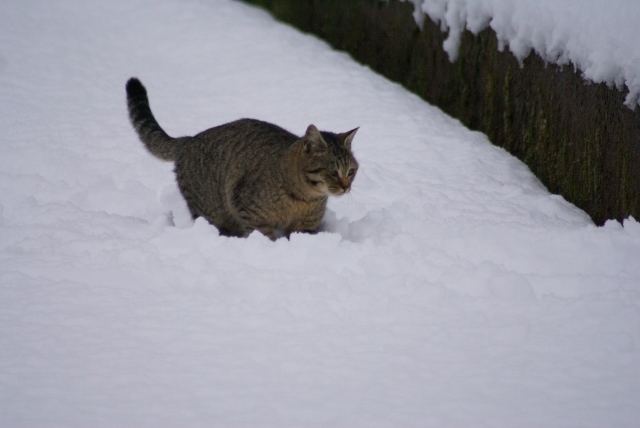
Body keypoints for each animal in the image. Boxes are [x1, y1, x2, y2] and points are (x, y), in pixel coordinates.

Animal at [125, 77, 360, 241]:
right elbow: (266, 237)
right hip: (212, 209)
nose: (346, 186)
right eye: (333, 171)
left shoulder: (306, 226)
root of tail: (189, 140)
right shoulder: (250, 211)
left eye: (351, 171)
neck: (304, 198)